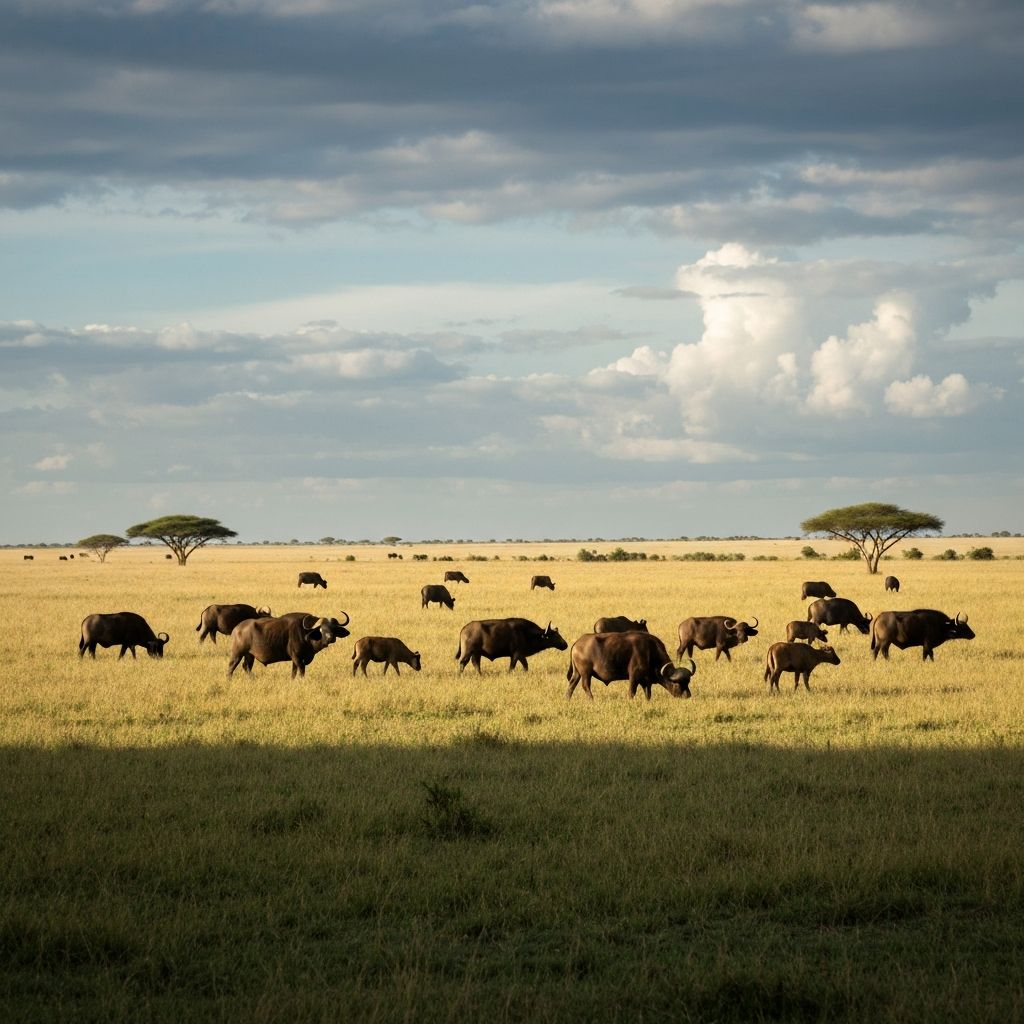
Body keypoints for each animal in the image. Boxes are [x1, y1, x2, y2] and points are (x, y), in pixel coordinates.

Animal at [567, 631, 695, 701]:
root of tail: (577, 643)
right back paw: (592, 699)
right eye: (677, 684)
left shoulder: (646, 681)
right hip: (585, 673)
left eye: (687, 682)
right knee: (585, 686)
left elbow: (648, 694)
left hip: (577, 673)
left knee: (571, 685)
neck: (650, 651)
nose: (688, 696)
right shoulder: (634, 676)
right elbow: (631, 692)